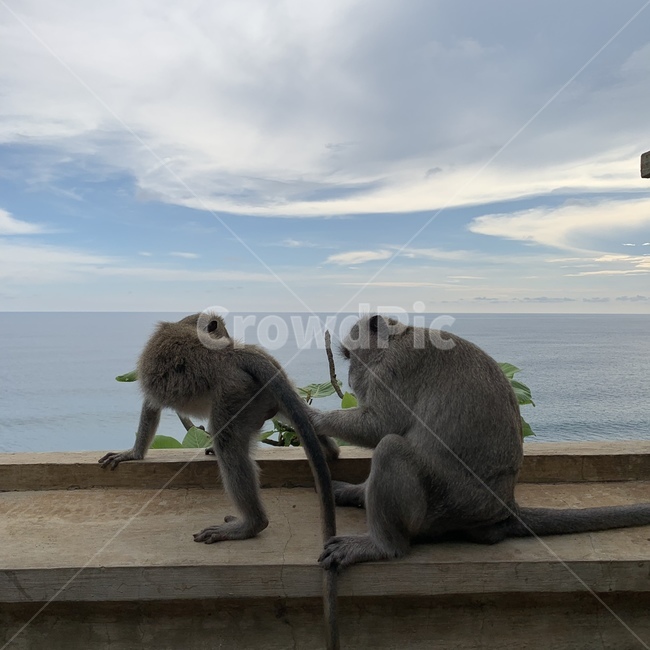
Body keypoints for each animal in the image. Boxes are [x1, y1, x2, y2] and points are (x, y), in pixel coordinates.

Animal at [98, 312, 340, 650]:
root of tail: (232, 355)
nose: (224, 334)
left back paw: (251, 523)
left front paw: (133, 453)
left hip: (234, 393)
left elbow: (151, 405)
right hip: (262, 393)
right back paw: (329, 451)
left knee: (227, 441)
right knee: (299, 415)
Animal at [313, 314, 650, 571]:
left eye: (349, 357)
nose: (351, 378)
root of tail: (505, 508)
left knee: (391, 448)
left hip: (451, 504)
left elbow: (381, 426)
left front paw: (313, 419)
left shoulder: (395, 368)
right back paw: (358, 494)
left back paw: (383, 546)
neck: (399, 338)